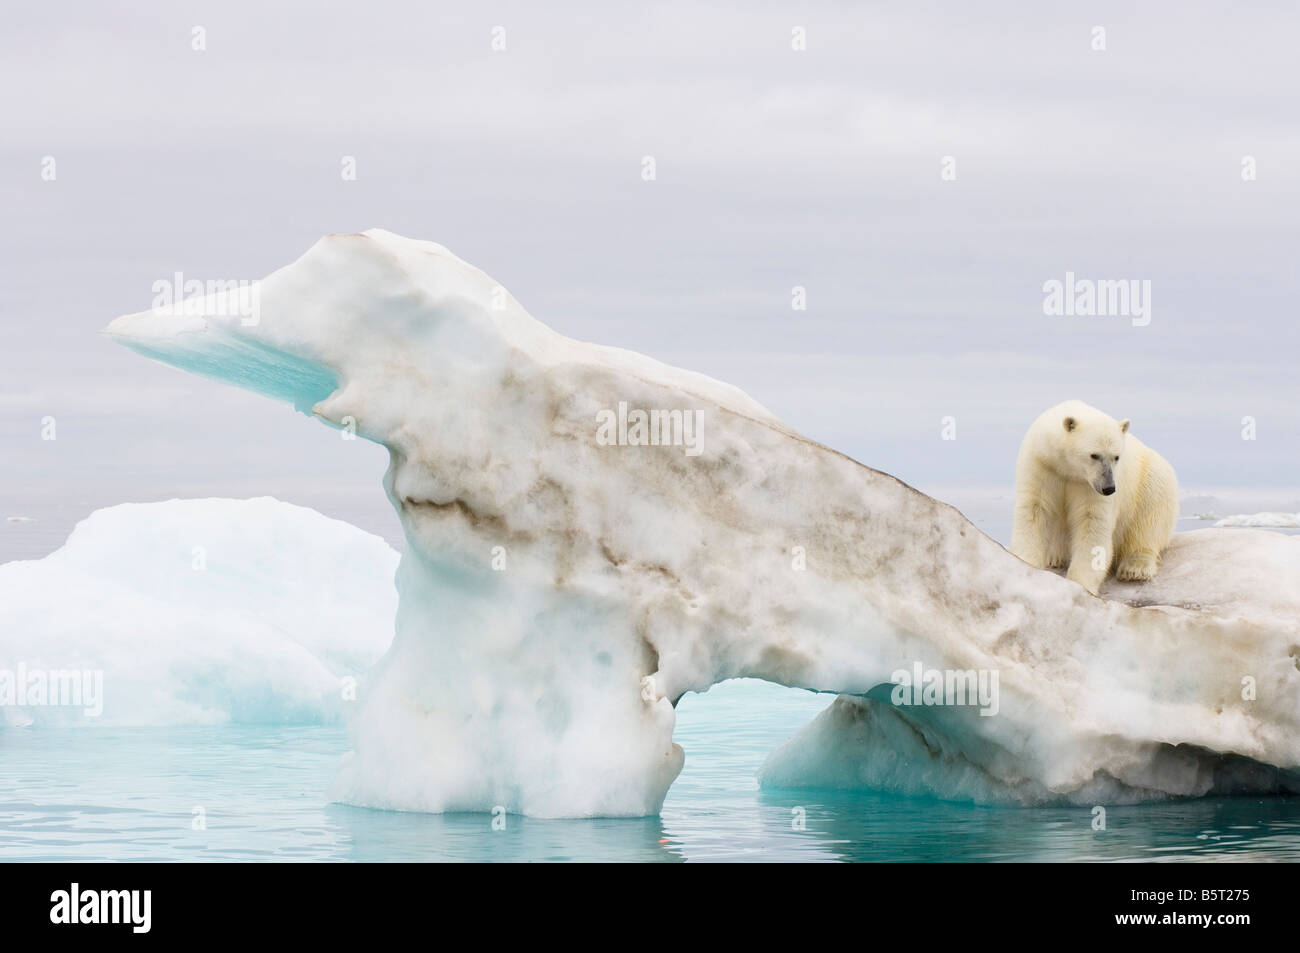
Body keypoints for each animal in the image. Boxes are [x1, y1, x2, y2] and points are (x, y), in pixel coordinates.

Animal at [1008, 400, 1185, 595]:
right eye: (1094, 455)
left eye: (1116, 456)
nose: (1109, 488)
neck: (1068, 470)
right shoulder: (1041, 465)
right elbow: (1034, 512)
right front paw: (1025, 567)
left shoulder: (1088, 487)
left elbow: (1092, 524)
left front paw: (1080, 585)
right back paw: (1054, 557)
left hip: (1150, 476)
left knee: (1150, 518)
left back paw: (1135, 569)